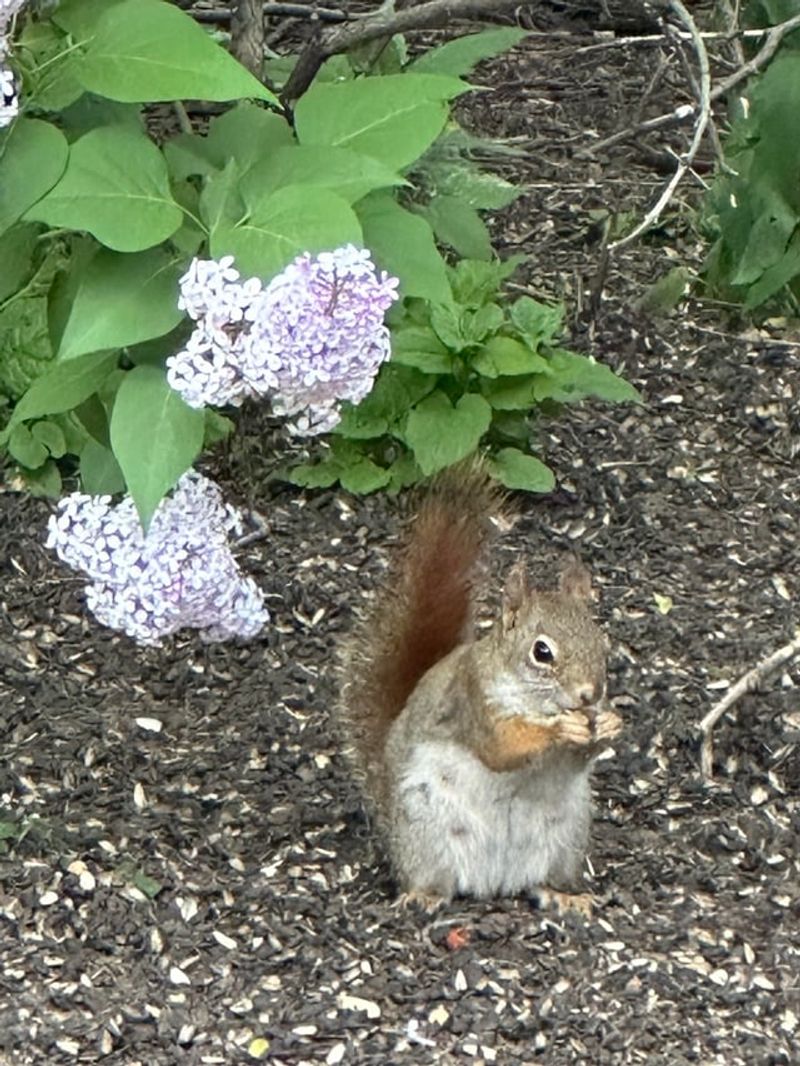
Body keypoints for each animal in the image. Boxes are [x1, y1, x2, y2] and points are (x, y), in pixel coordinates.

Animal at [338, 461, 622, 911]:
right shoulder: (473, 700)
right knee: (433, 878)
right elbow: (503, 748)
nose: (589, 694)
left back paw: (563, 896)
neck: (536, 702)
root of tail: (495, 882)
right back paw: (423, 895)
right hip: (425, 829)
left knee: (543, 879)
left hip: (566, 836)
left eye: (602, 644)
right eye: (542, 652)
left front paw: (609, 724)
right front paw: (559, 729)